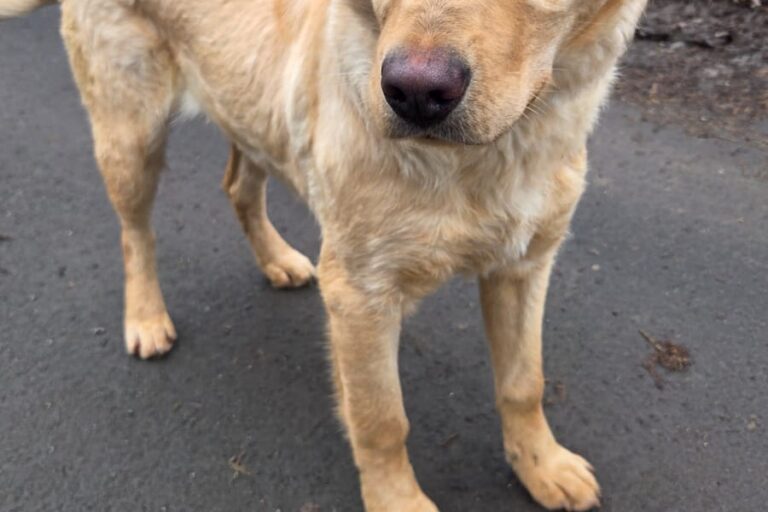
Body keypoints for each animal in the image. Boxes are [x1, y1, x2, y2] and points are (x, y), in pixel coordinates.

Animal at [2, 0, 647, 510]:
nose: (415, 94)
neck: (489, 159)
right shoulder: (361, 296)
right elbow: (381, 420)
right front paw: (398, 502)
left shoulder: (525, 264)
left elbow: (524, 383)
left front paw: (542, 466)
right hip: (130, 135)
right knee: (135, 233)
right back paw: (145, 317)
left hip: (250, 108)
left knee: (237, 186)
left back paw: (277, 260)